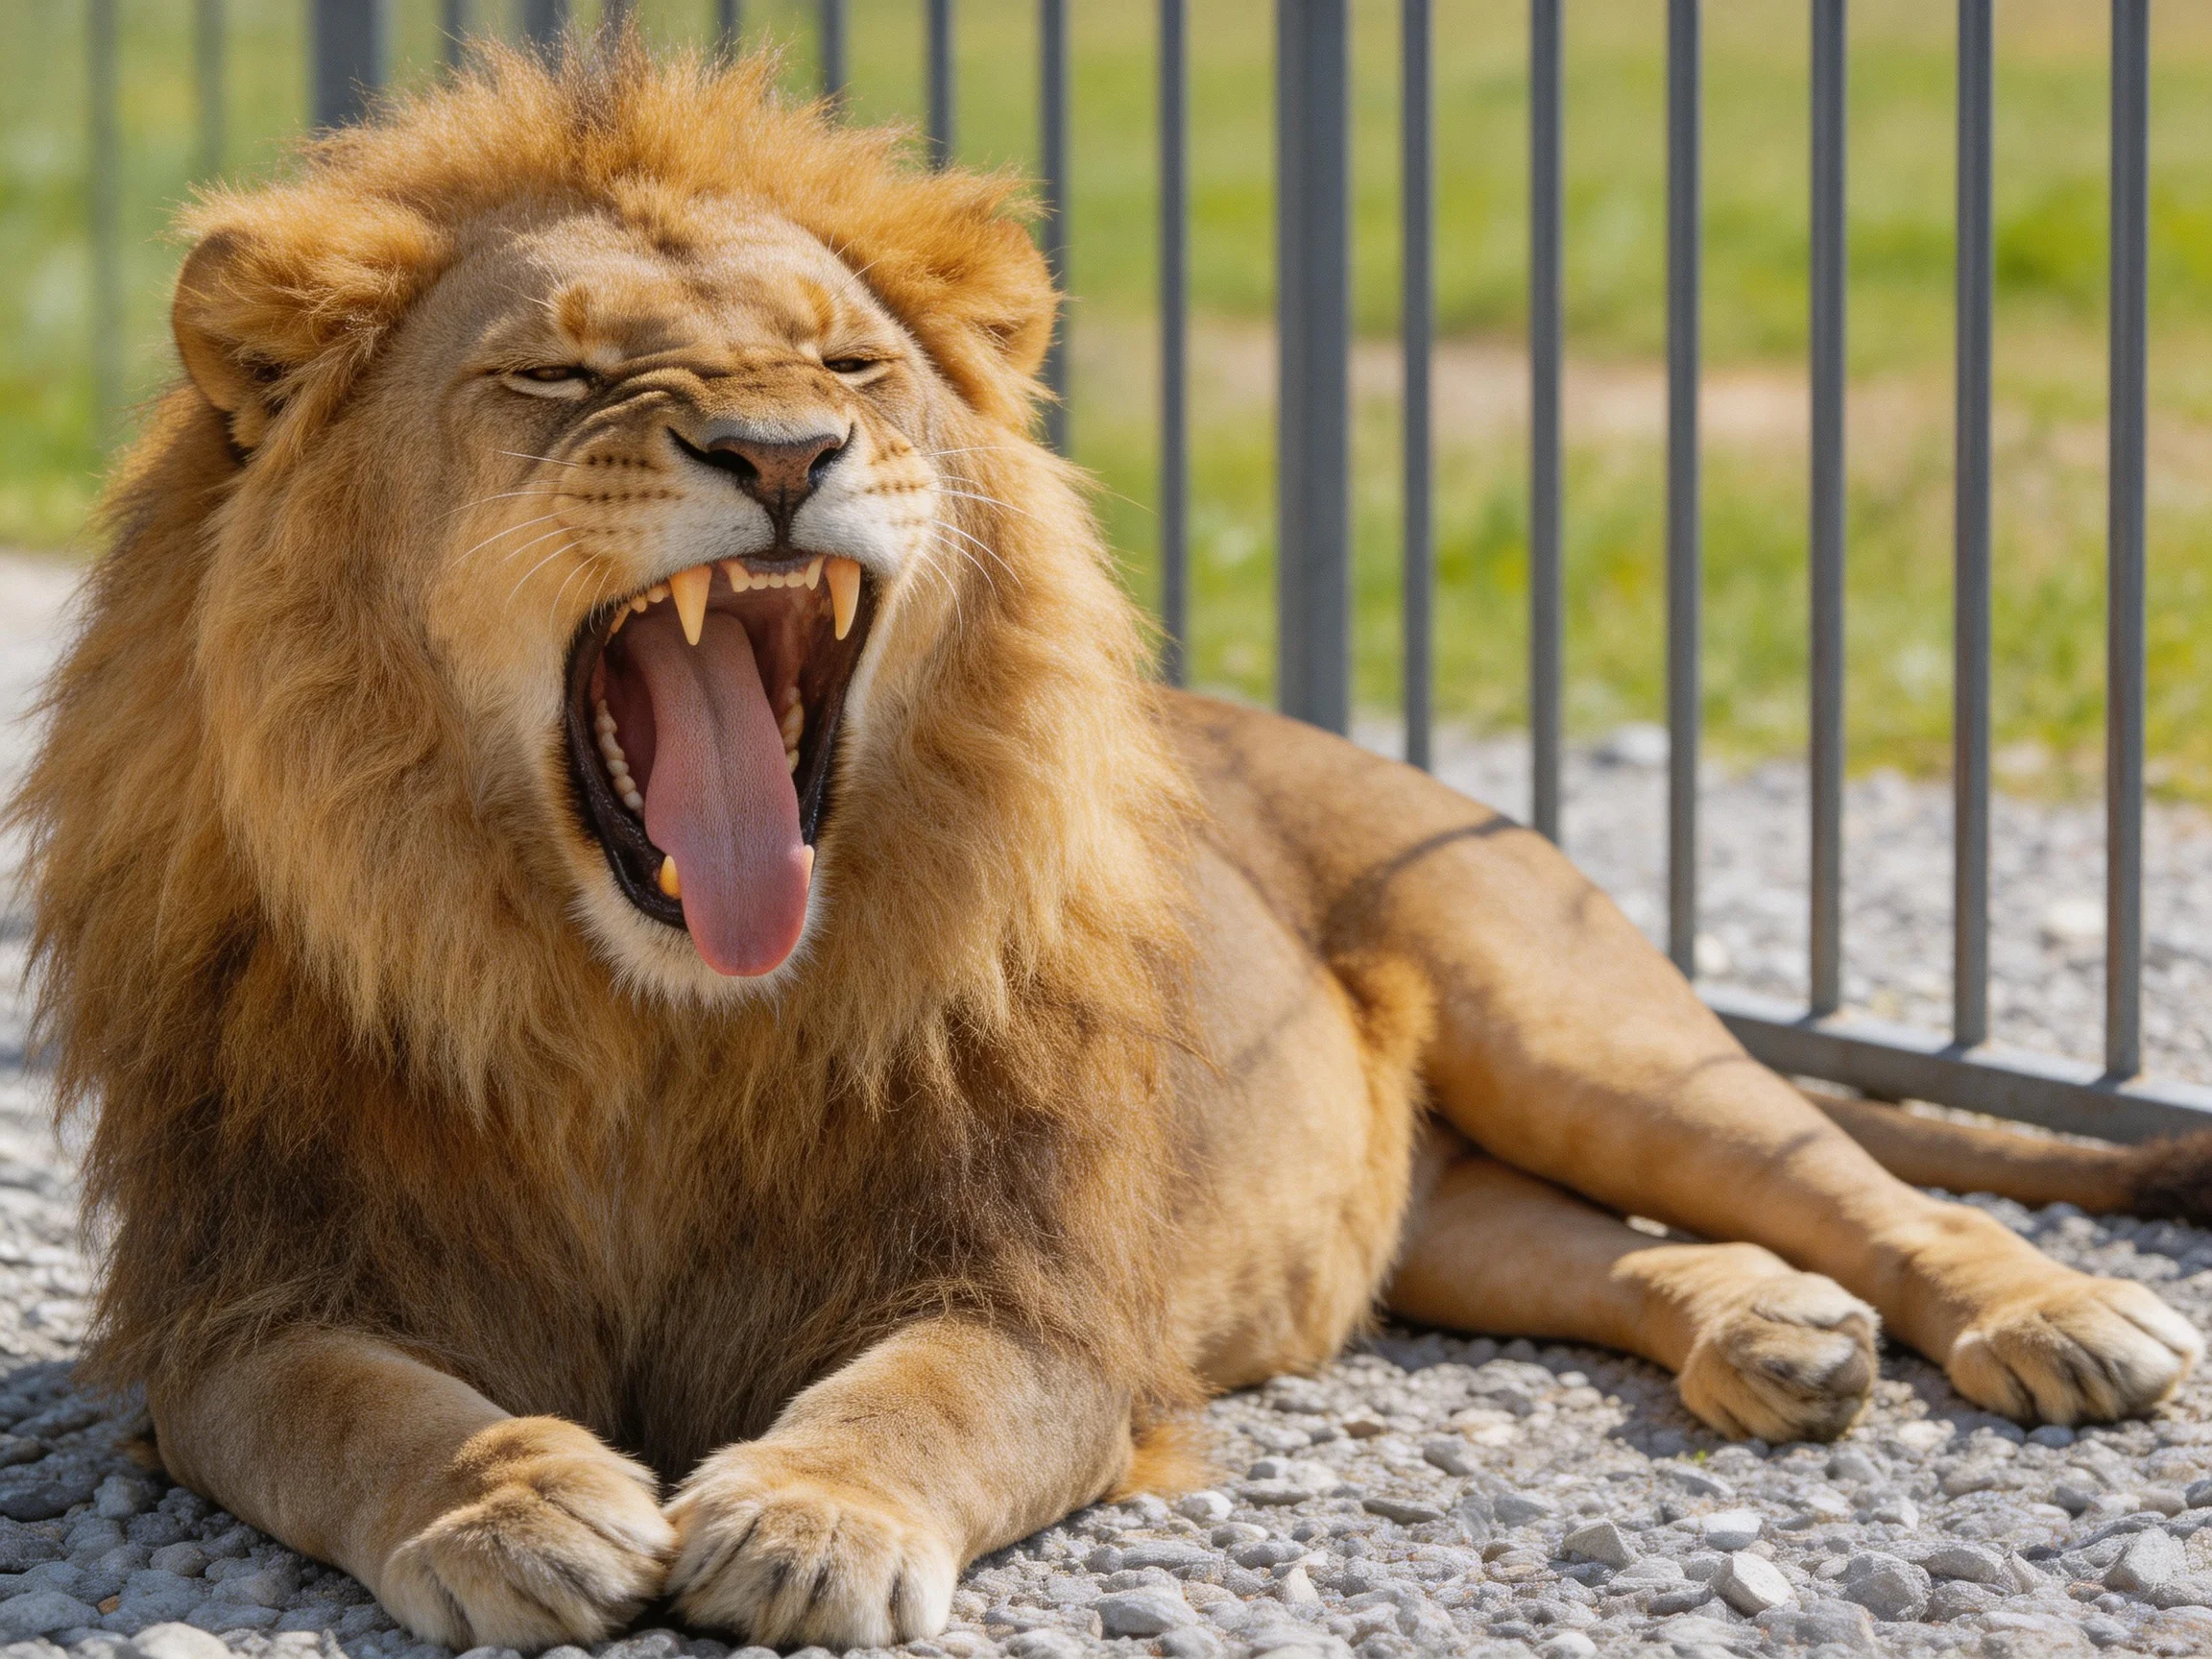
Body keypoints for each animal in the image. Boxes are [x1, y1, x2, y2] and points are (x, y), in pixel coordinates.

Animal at [13, 35, 2205, 1653]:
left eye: (849, 363)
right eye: (555, 373)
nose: (784, 455)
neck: (637, 1015)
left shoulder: (1039, 1291)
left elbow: (923, 1394)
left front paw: (802, 1520)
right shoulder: (242, 1289)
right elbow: (345, 1404)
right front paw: (520, 1497)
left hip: (1574, 1020)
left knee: (1851, 1182)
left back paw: (2052, 1318)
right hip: (1434, 1207)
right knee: (1603, 1247)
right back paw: (1768, 1333)